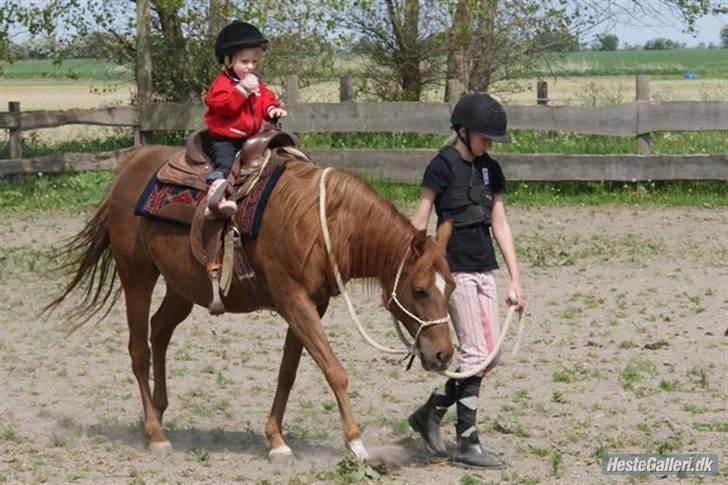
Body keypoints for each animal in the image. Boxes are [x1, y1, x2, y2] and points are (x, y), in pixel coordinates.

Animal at [48, 147, 452, 462]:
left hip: (182, 286)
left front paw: (276, 440)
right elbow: (334, 369)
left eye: (450, 287)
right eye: (419, 289)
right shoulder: (294, 300)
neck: (321, 223)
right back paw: (155, 435)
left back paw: (160, 413)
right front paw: (356, 443)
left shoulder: (311, 305)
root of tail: (133, 163)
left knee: (159, 331)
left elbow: (288, 372)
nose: (444, 355)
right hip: (137, 276)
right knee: (138, 349)